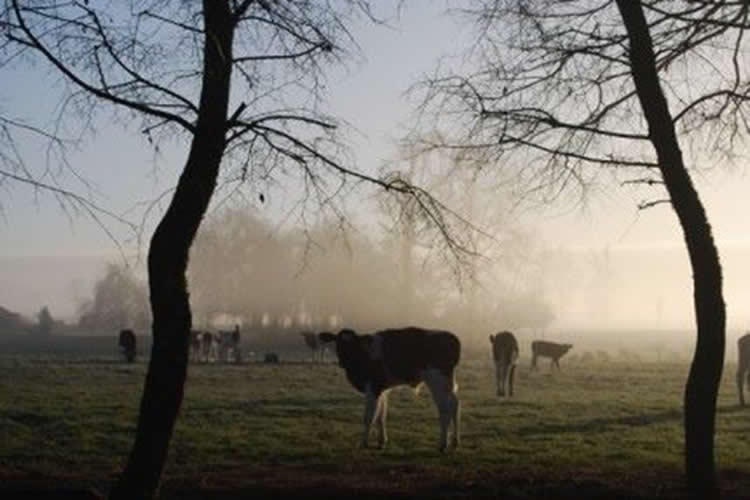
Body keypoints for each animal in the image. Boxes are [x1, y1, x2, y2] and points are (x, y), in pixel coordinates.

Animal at [320, 326, 462, 452]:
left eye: (353, 345)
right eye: (338, 343)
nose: (342, 362)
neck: (364, 354)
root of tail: (452, 338)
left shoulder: (373, 388)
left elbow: (369, 416)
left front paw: (363, 443)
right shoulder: (382, 390)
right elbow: (381, 416)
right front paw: (381, 442)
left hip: (437, 381)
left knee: (445, 409)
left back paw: (443, 444)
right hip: (448, 381)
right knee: (454, 405)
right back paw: (455, 442)